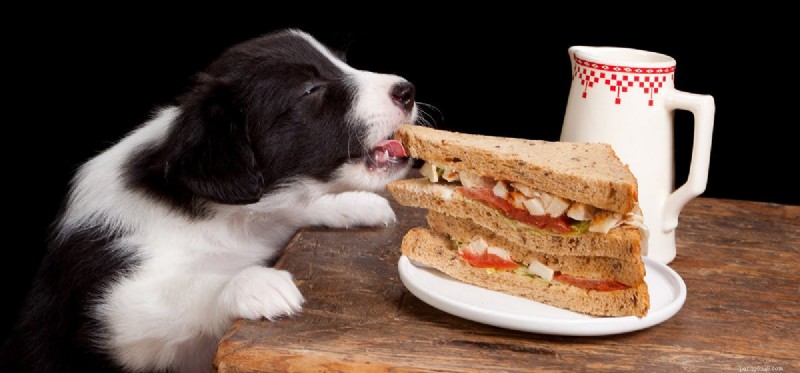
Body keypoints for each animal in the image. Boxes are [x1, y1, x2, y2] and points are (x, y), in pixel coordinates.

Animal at [3, 29, 418, 372]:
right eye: (310, 90)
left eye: (343, 61)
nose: (407, 90)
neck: (220, 217)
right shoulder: (109, 308)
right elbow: (180, 291)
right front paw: (252, 283)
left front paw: (351, 202)